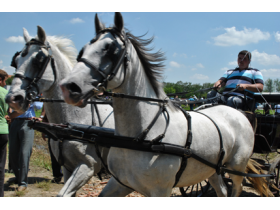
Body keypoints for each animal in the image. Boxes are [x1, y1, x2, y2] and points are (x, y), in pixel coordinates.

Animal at [4, 25, 114, 197]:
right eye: (16, 61)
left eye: (38, 60)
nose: (13, 98)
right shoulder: (68, 167)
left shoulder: (88, 167)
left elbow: (62, 194)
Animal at [59, 13, 272, 197]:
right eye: (83, 49)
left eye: (110, 49)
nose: (69, 87)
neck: (142, 135)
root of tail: (239, 114)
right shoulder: (120, 183)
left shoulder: (160, 191)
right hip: (212, 170)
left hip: (236, 169)